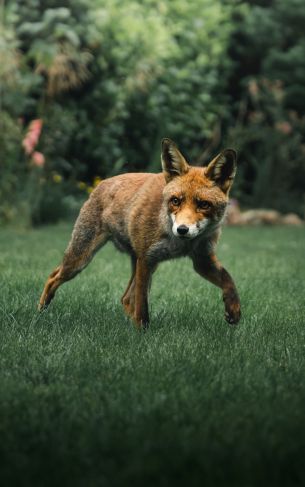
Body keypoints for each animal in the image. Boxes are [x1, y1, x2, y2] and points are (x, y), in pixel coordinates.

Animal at [39, 139, 240, 330]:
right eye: (175, 201)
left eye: (204, 205)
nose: (182, 229)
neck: (181, 243)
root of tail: (102, 182)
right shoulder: (146, 259)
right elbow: (142, 307)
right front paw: (142, 333)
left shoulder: (202, 259)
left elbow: (229, 281)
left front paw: (233, 310)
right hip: (81, 259)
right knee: (53, 276)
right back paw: (41, 310)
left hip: (140, 263)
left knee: (126, 299)